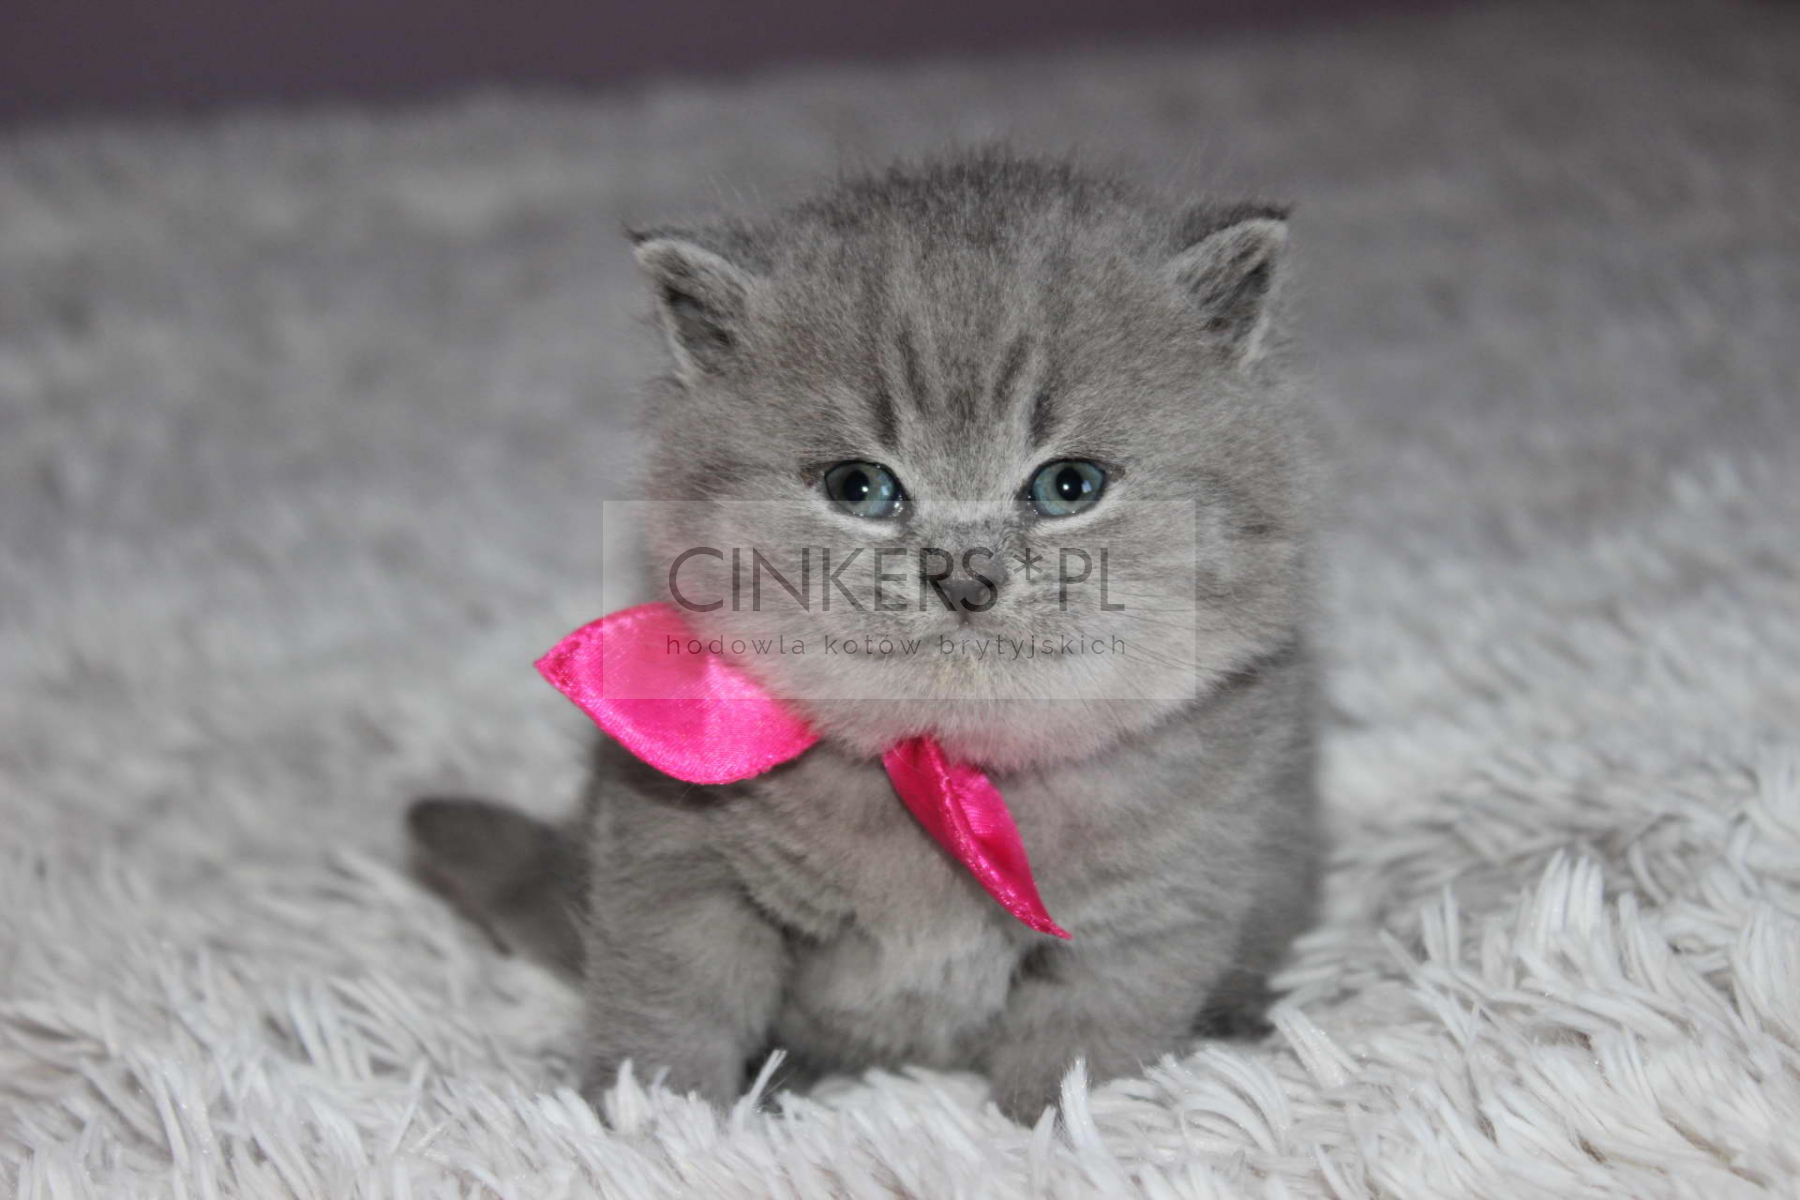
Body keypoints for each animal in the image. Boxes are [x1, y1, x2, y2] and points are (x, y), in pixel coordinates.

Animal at [409, 151, 1321, 1122]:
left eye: (1069, 485)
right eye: (861, 487)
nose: (963, 573)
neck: (938, 765)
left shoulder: (1151, 913)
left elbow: (1086, 1054)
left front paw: (1063, 1131)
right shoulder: (676, 857)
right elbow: (665, 1002)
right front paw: (653, 1118)